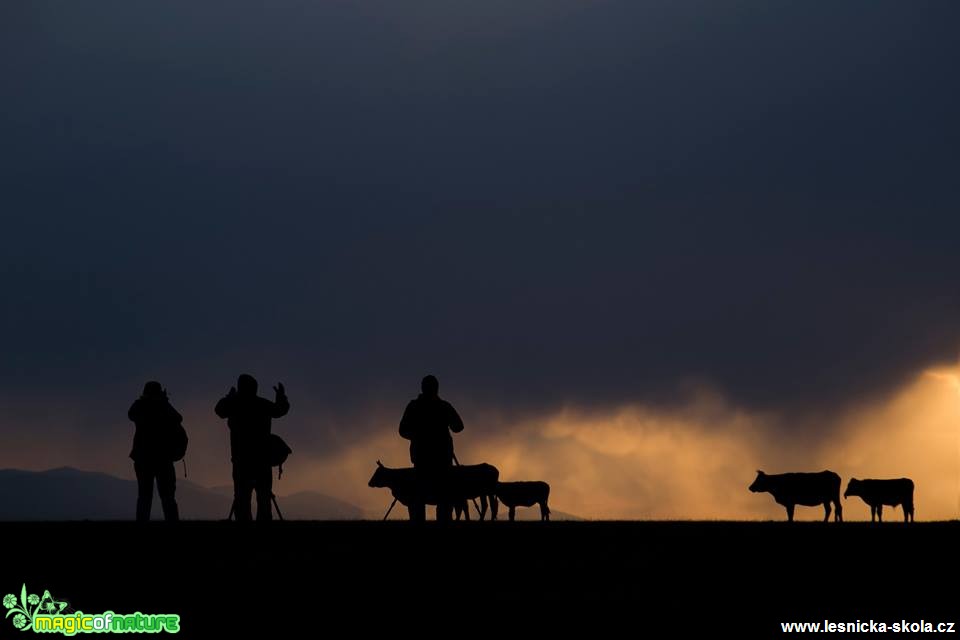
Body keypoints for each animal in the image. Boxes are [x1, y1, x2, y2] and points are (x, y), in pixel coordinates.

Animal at [368, 460, 498, 520]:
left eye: (378, 473)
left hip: (485, 492)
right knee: (485, 505)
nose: (369, 483)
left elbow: (413, 513)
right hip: (483, 493)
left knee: (489, 505)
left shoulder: (412, 501)